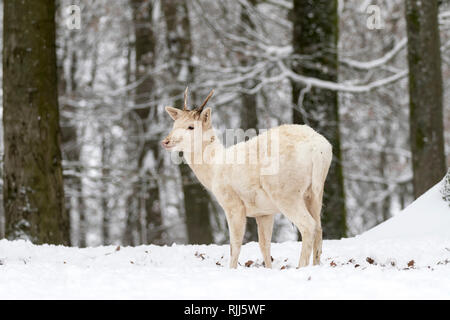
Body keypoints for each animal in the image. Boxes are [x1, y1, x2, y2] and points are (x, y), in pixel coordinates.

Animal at [162, 89, 330, 268]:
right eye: (174, 125)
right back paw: (316, 265)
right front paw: (268, 268)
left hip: (286, 192)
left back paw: (301, 266)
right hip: (315, 192)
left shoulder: (232, 203)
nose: (166, 141)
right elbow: (264, 245)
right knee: (319, 227)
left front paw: (232, 269)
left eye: (191, 126)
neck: (214, 170)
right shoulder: (264, 212)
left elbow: (234, 245)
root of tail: (318, 149)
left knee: (308, 225)